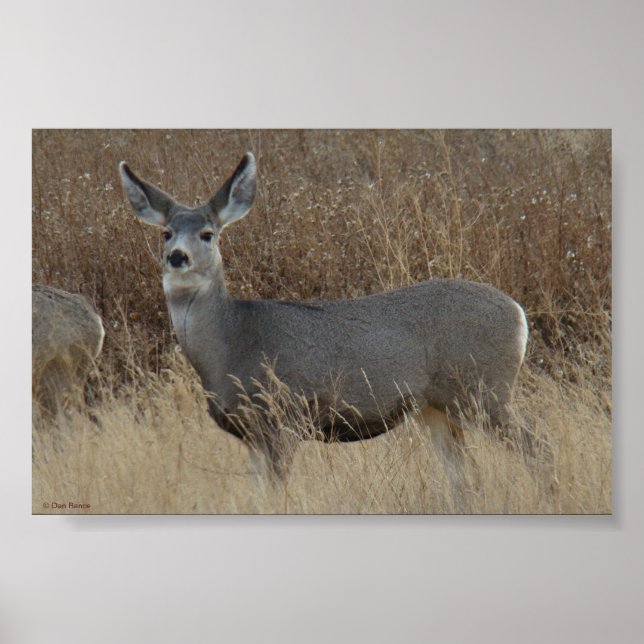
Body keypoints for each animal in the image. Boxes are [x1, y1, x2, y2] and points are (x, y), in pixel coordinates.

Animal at [119, 153, 529, 481]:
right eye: (166, 233)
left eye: (207, 233)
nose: (177, 256)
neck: (230, 345)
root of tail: (518, 313)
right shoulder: (250, 434)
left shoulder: (282, 418)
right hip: (436, 407)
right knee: (465, 477)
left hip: (485, 389)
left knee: (533, 448)